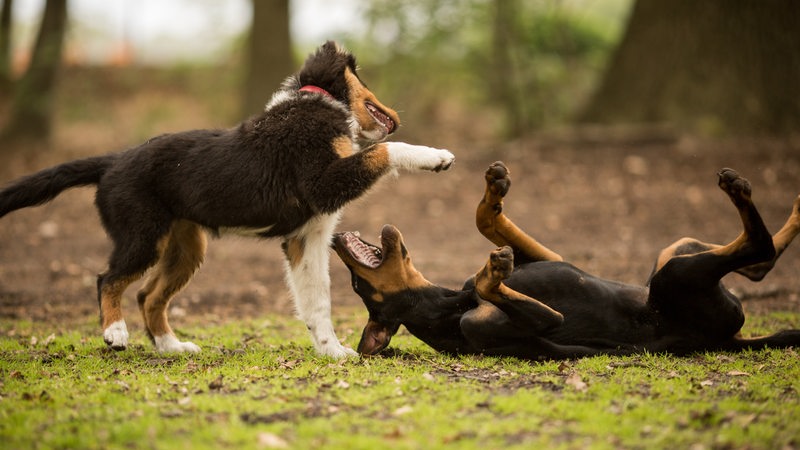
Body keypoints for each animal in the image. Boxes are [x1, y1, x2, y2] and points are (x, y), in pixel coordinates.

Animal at [0, 43, 454, 358]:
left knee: (149, 296)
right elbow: (384, 150)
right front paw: (436, 157)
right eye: (364, 78)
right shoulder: (322, 184)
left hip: (185, 247)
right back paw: (115, 333)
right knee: (107, 279)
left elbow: (316, 300)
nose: (395, 109)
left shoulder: (307, 237)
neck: (311, 103)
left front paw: (332, 352)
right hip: (141, 235)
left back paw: (171, 347)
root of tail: (112, 160)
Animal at [332, 163, 800, 360]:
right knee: (759, 251)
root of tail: (729, 342)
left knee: (758, 261)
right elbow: (501, 292)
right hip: (675, 278)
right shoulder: (523, 322)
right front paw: (492, 272)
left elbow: (485, 219)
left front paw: (494, 191)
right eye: (358, 288)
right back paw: (739, 189)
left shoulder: (549, 256)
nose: (334, 238)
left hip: (675, 252)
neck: (448, 303)